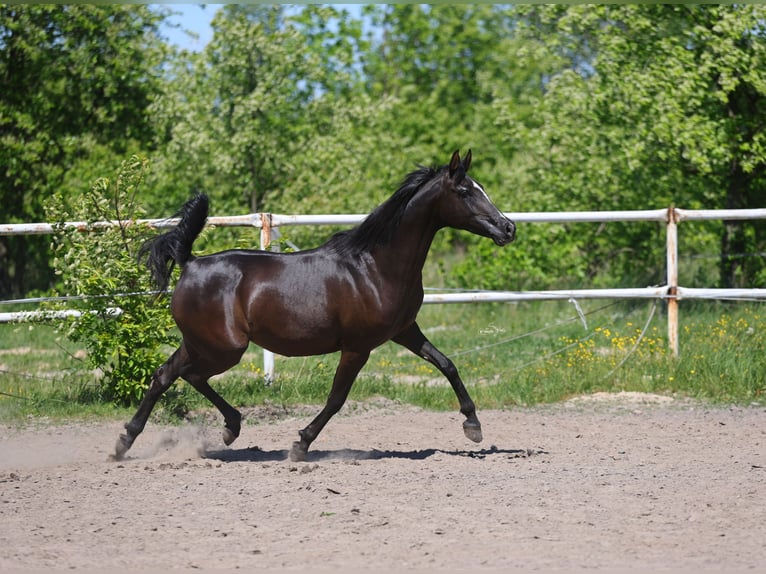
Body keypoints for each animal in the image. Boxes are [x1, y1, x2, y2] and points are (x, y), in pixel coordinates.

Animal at [113, 150, 516, 462]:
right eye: (464, 191)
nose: (508, 228)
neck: (376, 266)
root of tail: (191, 262)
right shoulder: (358, 347)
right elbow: (337, 398)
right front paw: (301, 445)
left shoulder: (404, 331)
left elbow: (447, 365)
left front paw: (473, 426)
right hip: (223, 347)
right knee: (185, 375)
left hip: (203, 342)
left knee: (167, 374)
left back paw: (137, 441)